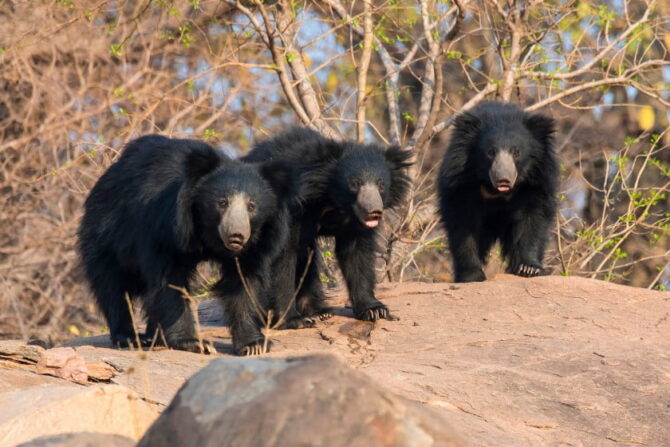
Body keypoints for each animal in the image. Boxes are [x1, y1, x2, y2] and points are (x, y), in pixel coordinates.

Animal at [78, 135, 295, 355]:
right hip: (106, 232)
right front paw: (195, 343)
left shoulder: (256, 246)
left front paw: (254, 345)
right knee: (113, 284)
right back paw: (129, 337)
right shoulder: (164, 229)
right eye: (222, 203)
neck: (207, 232)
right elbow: (170, 280)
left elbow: (243, 283)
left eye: (252, 206)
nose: (237, 236)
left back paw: (155, 337)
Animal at [243, 127, 412, 325]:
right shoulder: (293, 210)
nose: (374, 211)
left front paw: (374, 310)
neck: (333, 200)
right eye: (355, 184)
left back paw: (319, 311)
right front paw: (291, 320)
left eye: (381, 184)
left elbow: (357, 255)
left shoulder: (355, 222)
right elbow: (283, 256)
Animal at [437, 101, 559, 282]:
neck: (496, 191)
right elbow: (463, 225)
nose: (504, 179)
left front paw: (529, 269)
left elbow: (532, 220)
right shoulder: (460, 184)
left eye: (516, 152)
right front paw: (471, 275)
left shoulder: (535, 184)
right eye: (490, 152)